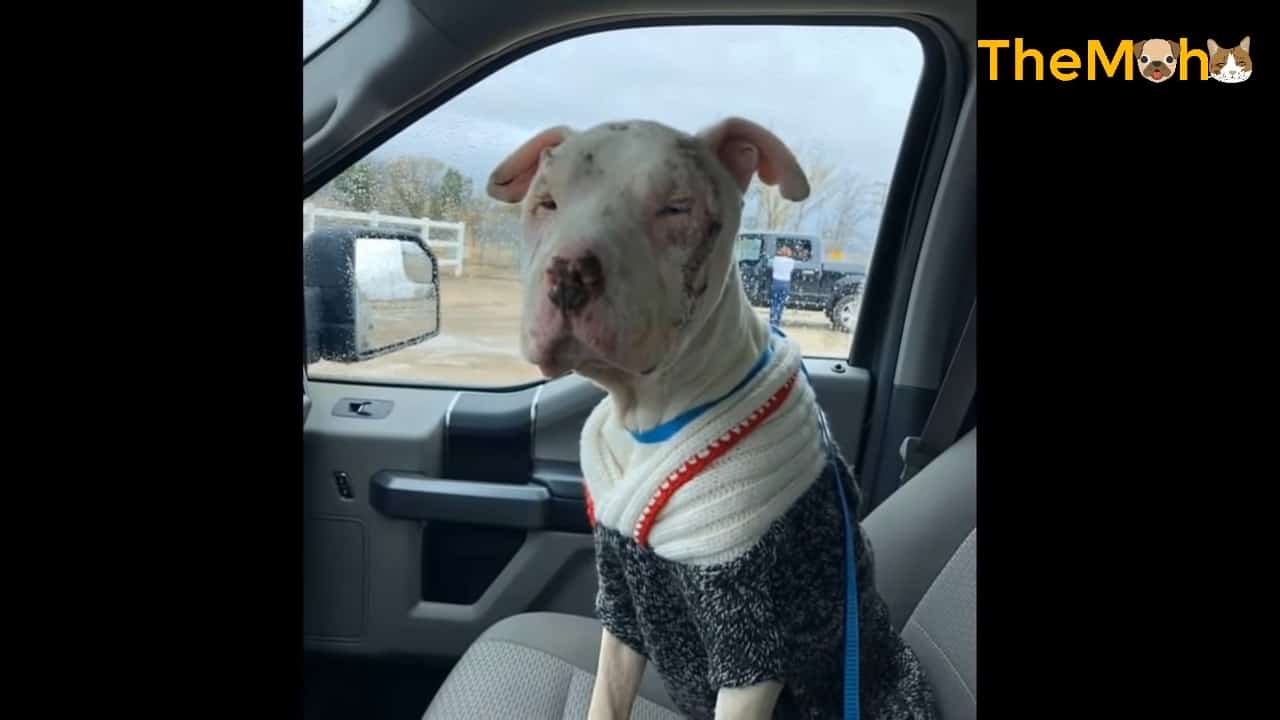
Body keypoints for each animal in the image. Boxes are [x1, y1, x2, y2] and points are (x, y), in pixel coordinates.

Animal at [483, 117, 936, 717]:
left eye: (676, 208)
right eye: (546, 202)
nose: (571, 273)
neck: (651, 418)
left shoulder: (748, 636)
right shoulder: (623, 606)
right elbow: (605, 698)